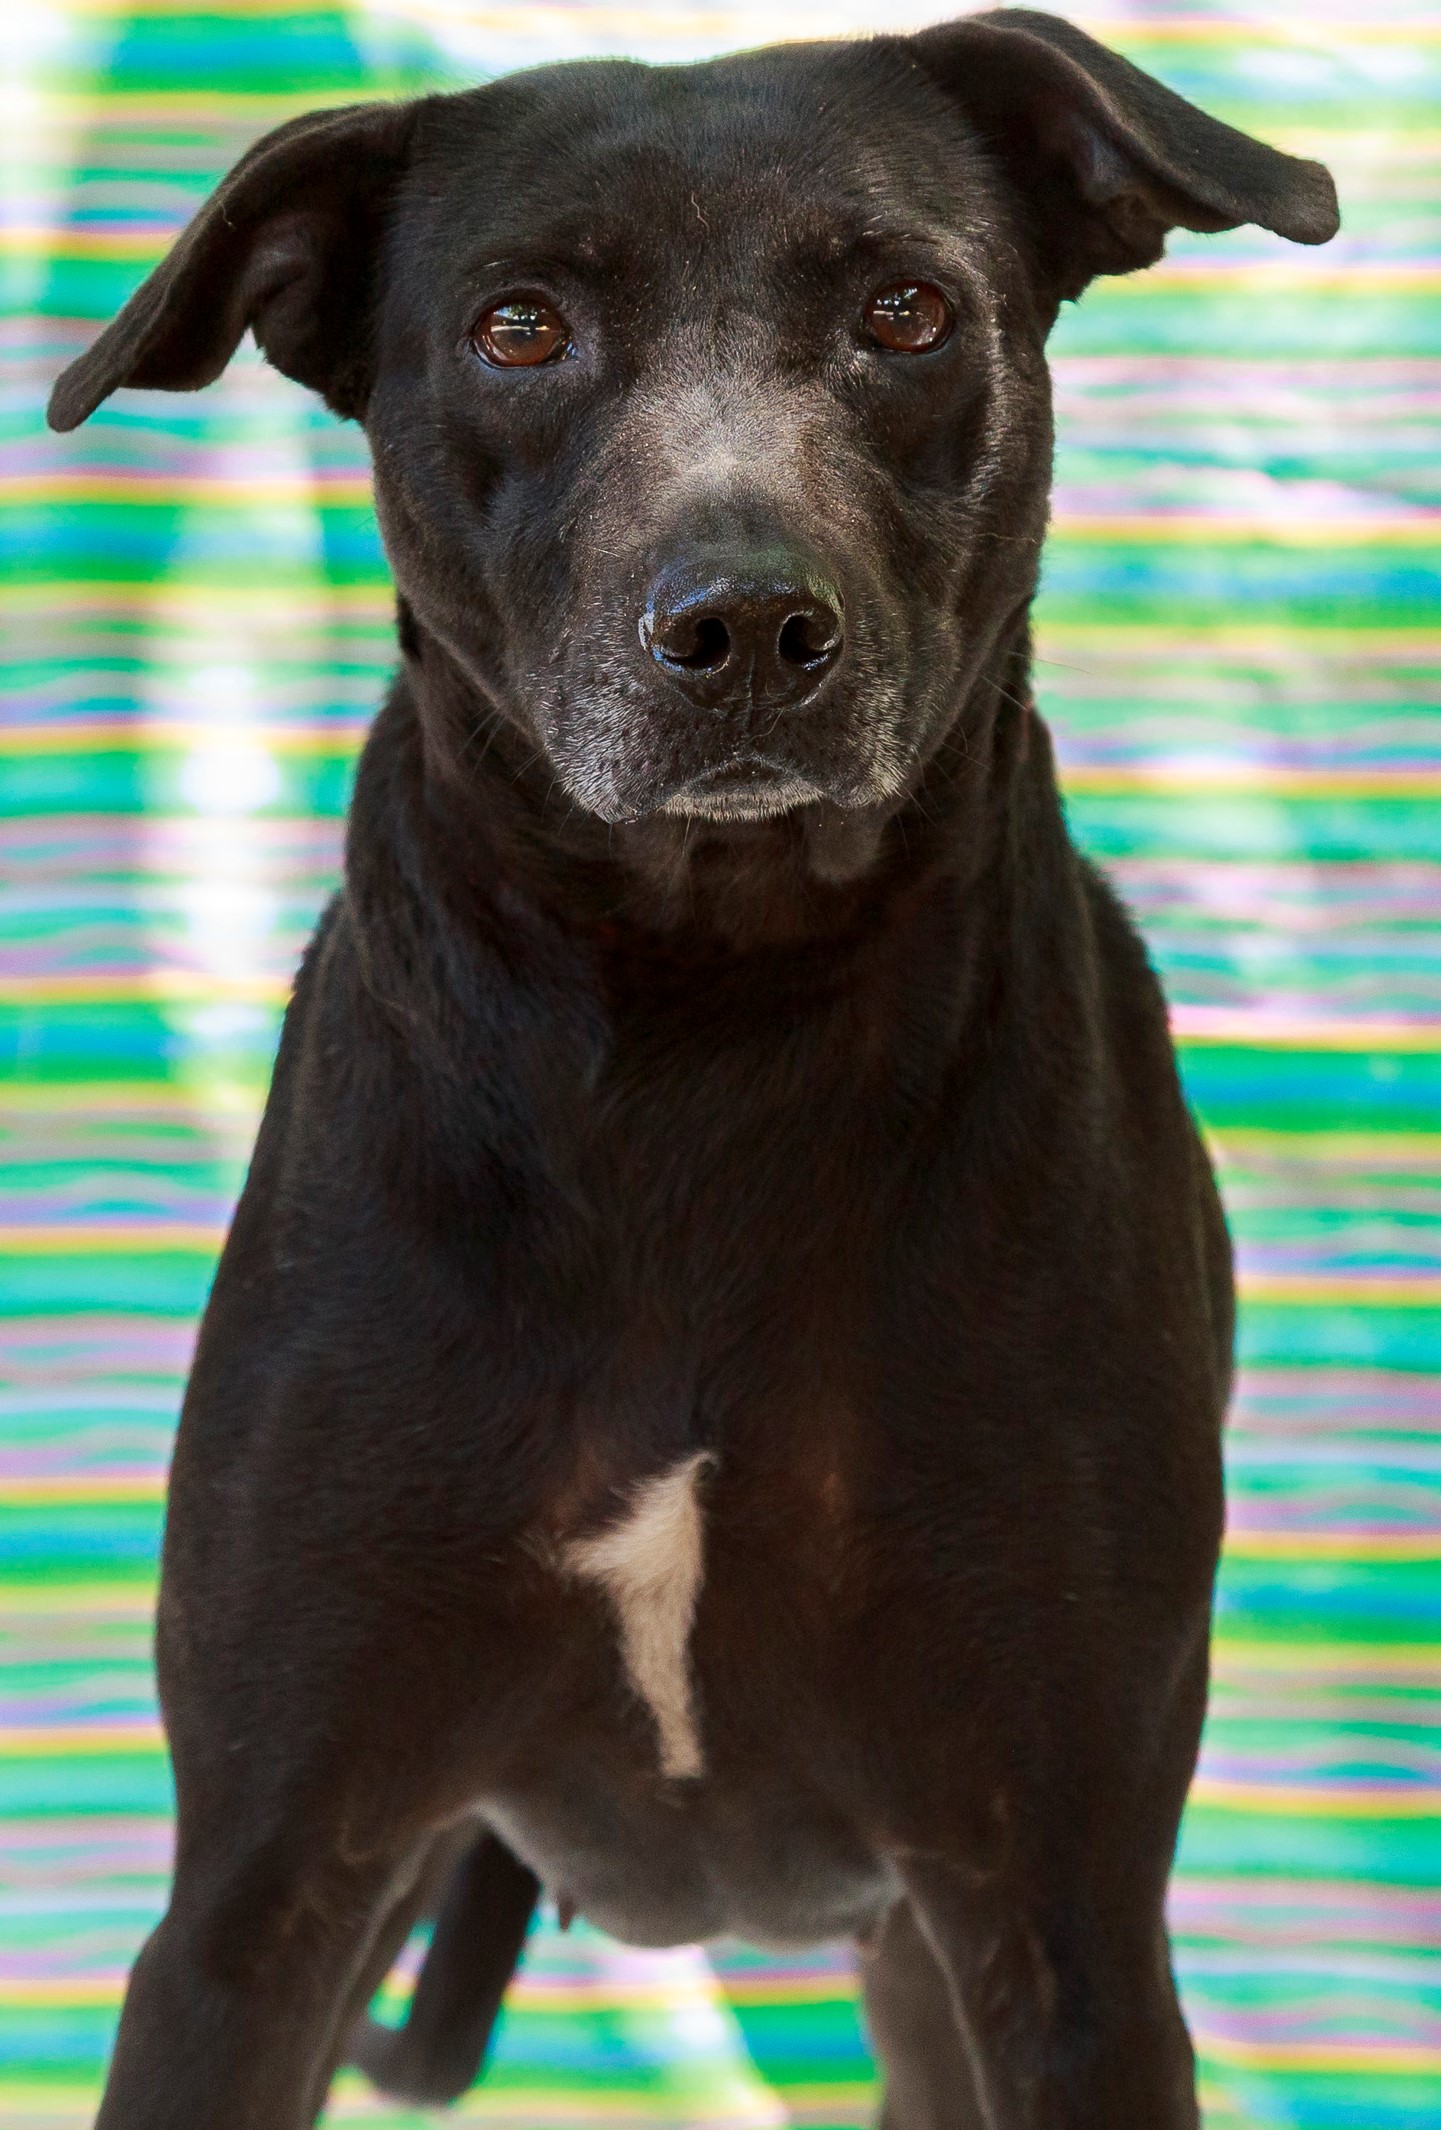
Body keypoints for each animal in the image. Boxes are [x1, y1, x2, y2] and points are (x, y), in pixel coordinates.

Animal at [50, 20, 1328, 2130]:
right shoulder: (257, 1895)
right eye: (518, 327)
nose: (740, 628)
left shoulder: (1061, 1919)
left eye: (905, 311)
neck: (694, 1029)